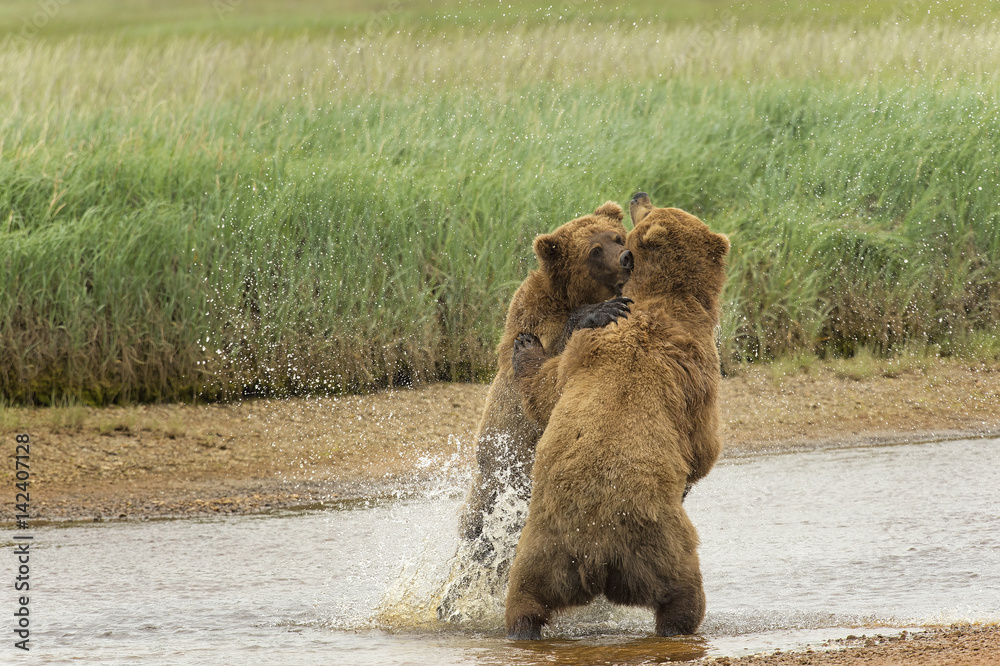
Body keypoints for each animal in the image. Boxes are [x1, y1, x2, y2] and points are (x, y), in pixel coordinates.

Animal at [457, 202, 634, 550]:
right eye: (594, 250)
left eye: (617, 236)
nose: (625, 257)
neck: (567, 296)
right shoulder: (534, 320)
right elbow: (549, 367)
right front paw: (602, 310)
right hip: (498, 482)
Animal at [504, 193, 729, 640]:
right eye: (648, 208)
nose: (639, 195)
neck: (663, 298)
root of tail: (596, 553)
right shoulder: (696, 371)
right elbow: (703, 444)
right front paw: (525, 345)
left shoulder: (594, 349)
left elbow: (548, 389)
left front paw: (526, 347)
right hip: (656, 544)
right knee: (683, 592)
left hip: (546, 550)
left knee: (526, 594)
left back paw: (522, 626)